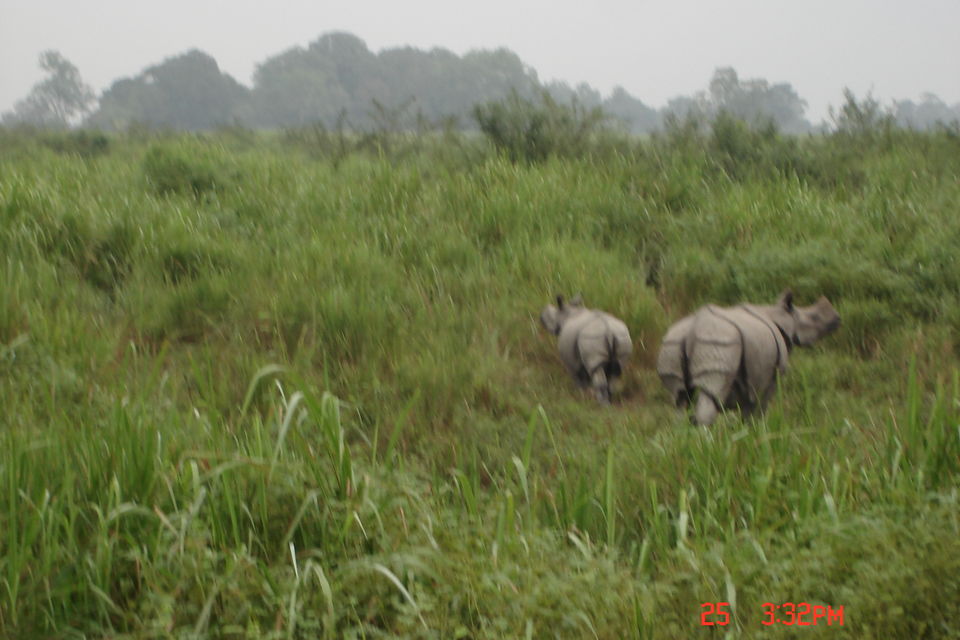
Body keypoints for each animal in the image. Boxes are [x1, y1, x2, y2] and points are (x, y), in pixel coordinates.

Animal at [657, 290, 840, 426]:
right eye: (814, 318)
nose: (837, 319)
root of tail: (693, 329)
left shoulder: (749, 377)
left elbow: (747, 407)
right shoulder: (772, 377)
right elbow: (759, 407)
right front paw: (756, 432)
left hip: (672, 344)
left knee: (680, 398)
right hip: (719, 341)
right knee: (710, 395)